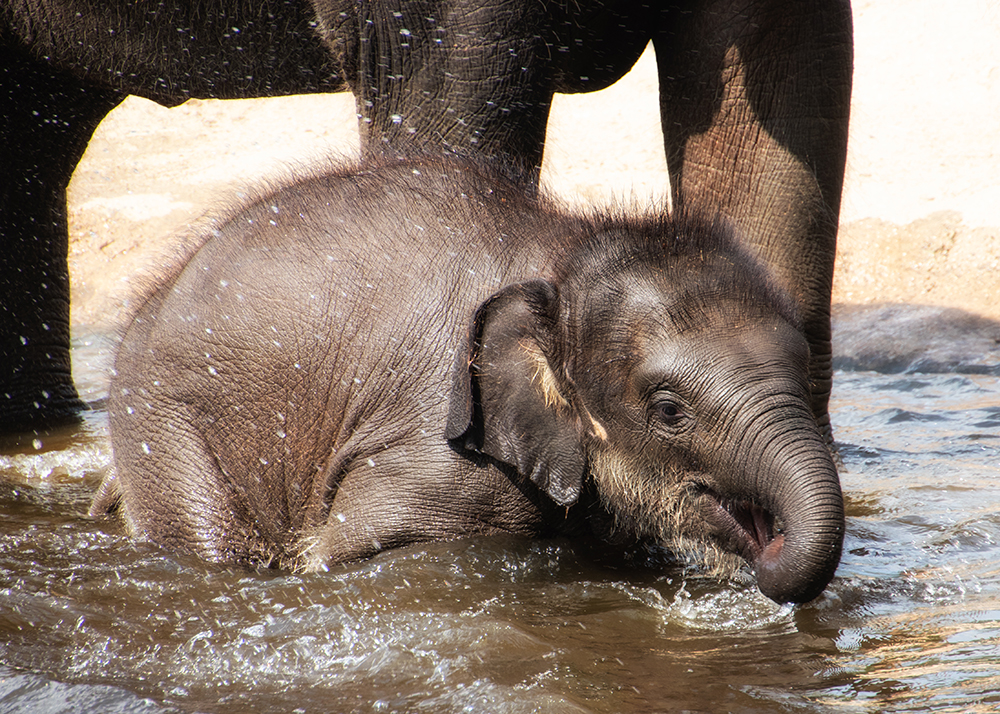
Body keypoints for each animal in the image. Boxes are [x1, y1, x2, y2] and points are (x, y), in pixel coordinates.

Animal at [94, 156, 844, 600]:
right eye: (668, 409)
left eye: (807, 374)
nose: (770, 549)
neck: (561, 255)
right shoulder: (438, 456)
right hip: (161, 420)